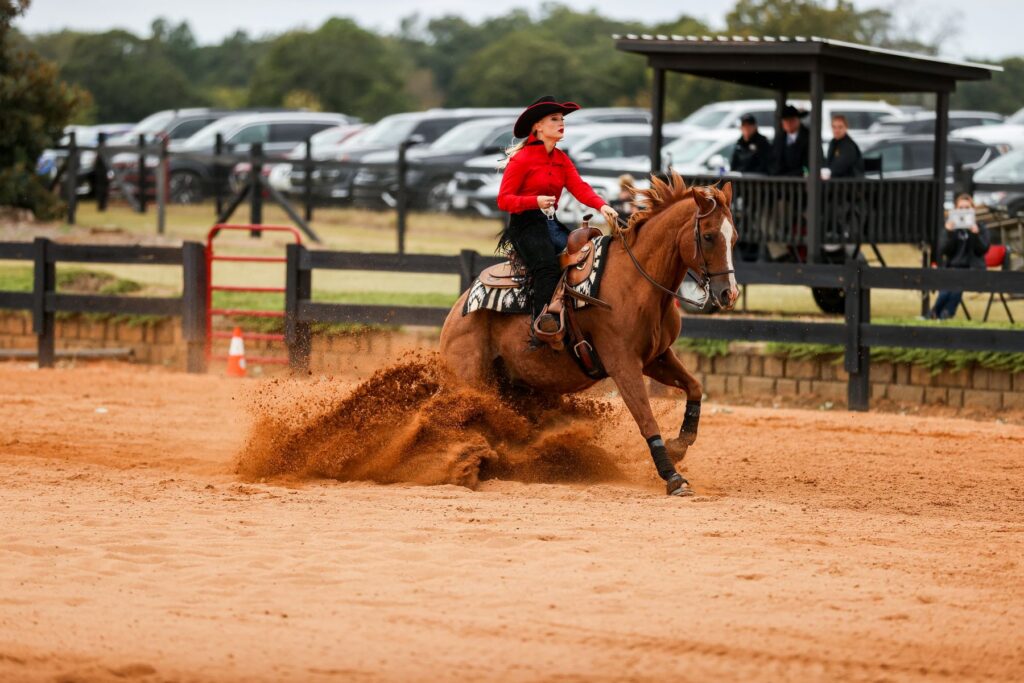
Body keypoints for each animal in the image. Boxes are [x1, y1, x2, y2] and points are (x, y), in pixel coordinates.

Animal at [438, 172, 737, 497]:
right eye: (709, 236)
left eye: (734, 237)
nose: (729, 294)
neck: (637, 281)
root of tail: (458, 308)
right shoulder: (622, 364)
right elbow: (646, 419)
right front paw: (672, 476)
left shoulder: (655, 357)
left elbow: (694, 386)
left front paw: (680, 445)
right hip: (467, 377)